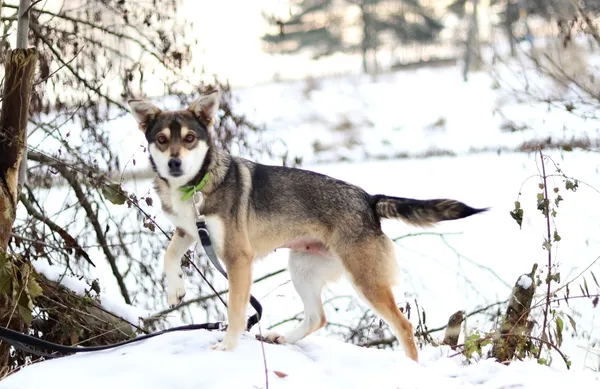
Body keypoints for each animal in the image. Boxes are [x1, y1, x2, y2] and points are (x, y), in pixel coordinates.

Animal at [127, 88, 488, 360]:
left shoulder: (237, 258)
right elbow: (169, 255)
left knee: (404, 326)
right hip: (302, 267)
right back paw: (284, 339)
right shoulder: (190, 230)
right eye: (162, 139)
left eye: (190, 138)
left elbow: (234, 311)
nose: (174, 164)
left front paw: (227, 346)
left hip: (364, 279)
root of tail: (369, 199)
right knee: (318, 317)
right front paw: (175, 290)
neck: (194, 186)